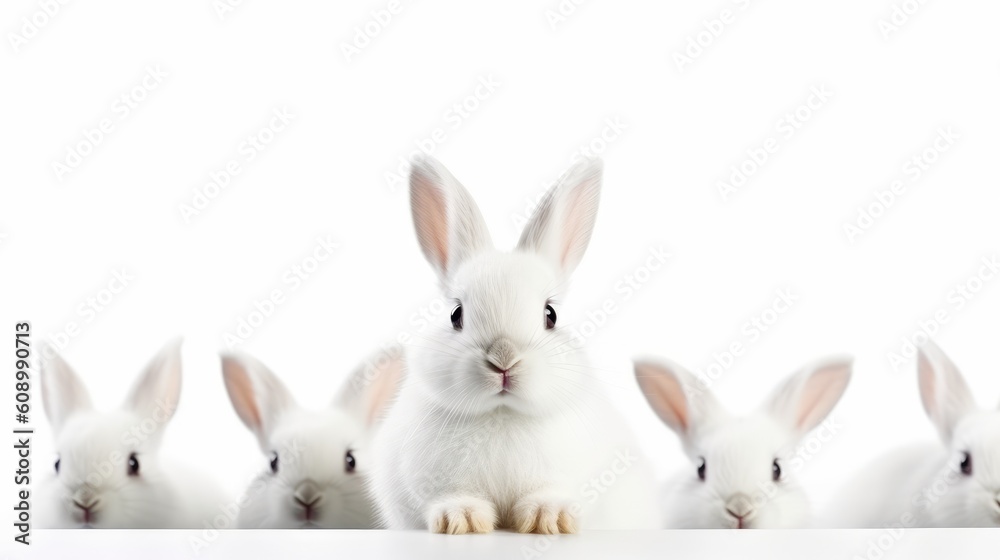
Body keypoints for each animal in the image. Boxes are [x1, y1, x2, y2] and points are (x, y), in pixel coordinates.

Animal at [370, 155, 662, 534]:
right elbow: (451, 498)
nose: (503, 360)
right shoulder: (432, 483)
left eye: (550, 315)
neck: (502, 412)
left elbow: (550, 495)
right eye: (455, 314)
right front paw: (462, 521)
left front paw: (546, 520)